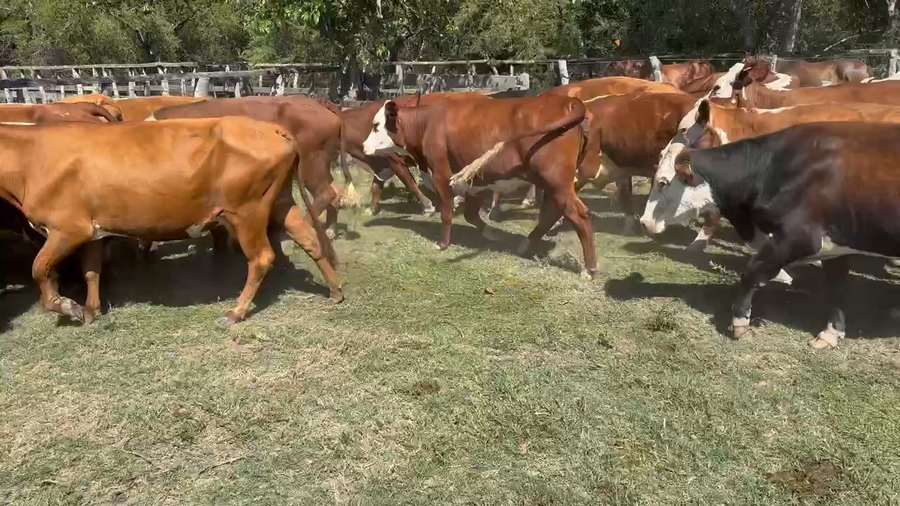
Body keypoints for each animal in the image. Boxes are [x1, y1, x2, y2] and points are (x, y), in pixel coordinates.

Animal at [0, 117, 342, 326]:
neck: (31, 159)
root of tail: (271, 128)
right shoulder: (94, 230)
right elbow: (91, 272)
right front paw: (90, 311)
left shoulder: (67, 229)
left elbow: (38, 269)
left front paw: (67, 306)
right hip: (281, 201)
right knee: (311, 240)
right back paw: (335, 290)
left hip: (247, 210)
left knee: (261, 257)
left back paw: (236, 311)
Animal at [152, 96, 357, 240]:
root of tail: (318, 102)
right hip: (322, 163)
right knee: (334, 192)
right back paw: (330, 232)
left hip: (310, 162)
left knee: (324, 193)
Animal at [362, 95, 598, 277]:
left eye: (376, 126)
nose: (363, 146)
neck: (427, 124)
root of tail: (570, 101)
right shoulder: (474, 182)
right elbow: (471, 215)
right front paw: (492, 233)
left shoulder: (441, 174)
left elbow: (447, 212)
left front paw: (442, 244)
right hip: (553, 184)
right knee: (552, 213)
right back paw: (525, 245)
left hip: (556, 182)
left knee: (578, 215)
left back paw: (590, 269)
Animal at [640, 122, 900, 349]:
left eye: (662, 183)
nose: (644, 222)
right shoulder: (836, 244)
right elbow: (836, 288)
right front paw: (831, 334)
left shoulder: (800, 237)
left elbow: (751, 271)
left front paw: (740, 321)